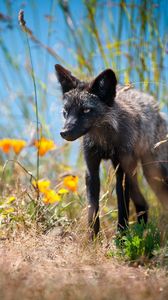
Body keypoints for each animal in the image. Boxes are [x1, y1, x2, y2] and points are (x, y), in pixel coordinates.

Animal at [55, 64, 168, 238]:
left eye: (86, 110)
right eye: (66, 111)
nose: (64, 132)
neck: (105, 143)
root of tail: (155, 106)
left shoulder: (120, 172)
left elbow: (123, 210)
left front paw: (121, 238)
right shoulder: (91, 171)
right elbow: (93, 211)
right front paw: (92, 240)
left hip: (152, 173)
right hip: (136, 175)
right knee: (143, 204)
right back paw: (142, 231)